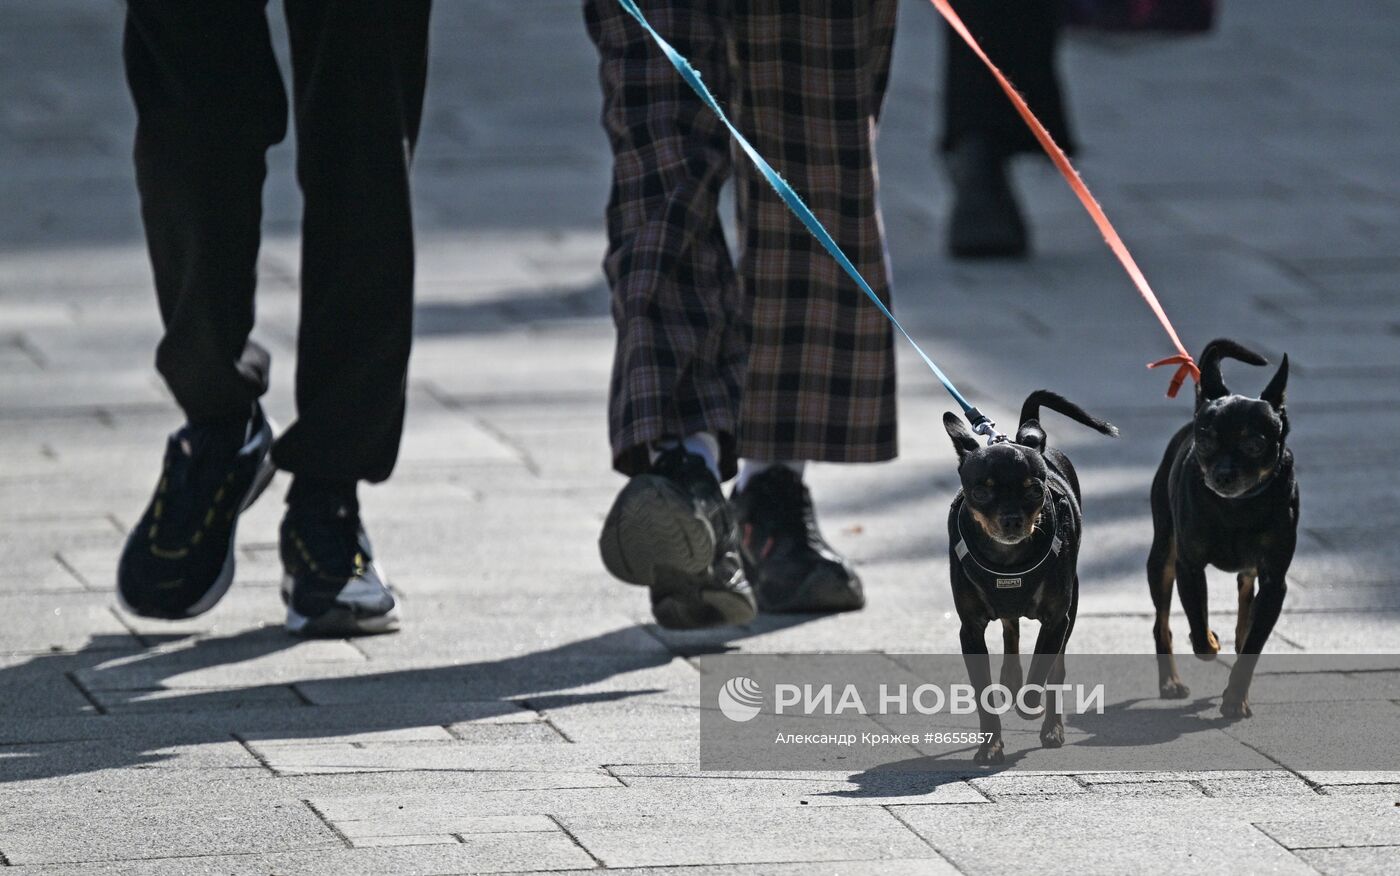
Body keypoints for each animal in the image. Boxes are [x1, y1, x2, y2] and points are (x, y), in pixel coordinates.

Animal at [946, 391, 1120, 761]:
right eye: (981, 491)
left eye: (1033, 490)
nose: (1012, 519)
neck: (1007, 561)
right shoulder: (970, 630)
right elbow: (983, 692)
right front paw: (990, 745)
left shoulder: (1056, 621)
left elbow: (1042, 669)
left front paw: (1030, 705)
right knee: (1010, 628)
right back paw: (1011, 678)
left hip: (1071, 610)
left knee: (1056, 669)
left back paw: (1051, 726)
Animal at [1153, 335, 1293, 716]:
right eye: (1206, 440)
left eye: (1254, 444)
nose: (1224, 474)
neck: (1237, 507)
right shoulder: (1188, 567)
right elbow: (1198, 627)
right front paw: (1210, 641)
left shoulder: (1274, 582)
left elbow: (1253, 647)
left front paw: (1234, 698)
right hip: (1162, 559)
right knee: (1162, 624)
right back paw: (1170, 683)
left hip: (1249, 570)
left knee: (1245, 599)